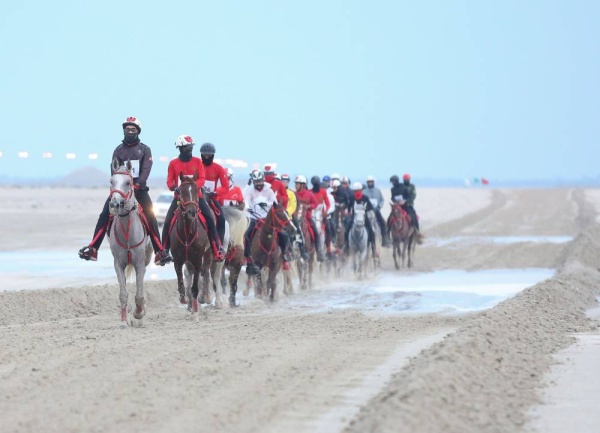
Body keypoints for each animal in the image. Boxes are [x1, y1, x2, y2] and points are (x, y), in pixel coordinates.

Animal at [106, 160, 152, 326]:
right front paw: (123, 320)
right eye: (111, 181)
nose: (114, 204)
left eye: (128, 182)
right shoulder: (118, 263)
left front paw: (139, 313)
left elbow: (139, 293)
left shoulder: (139, 263)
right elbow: (123, 293)